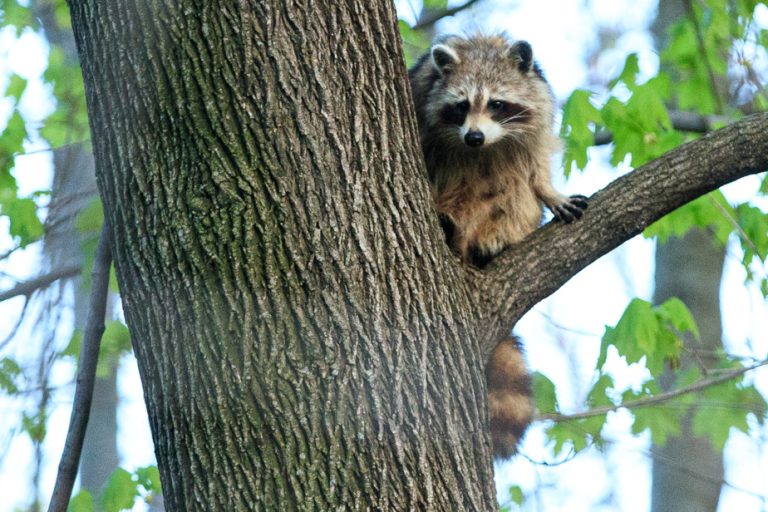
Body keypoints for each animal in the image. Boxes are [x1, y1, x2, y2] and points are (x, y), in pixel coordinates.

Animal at [408, 36, 588, 460]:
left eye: (496, 104)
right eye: (460, 105)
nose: (473, 137)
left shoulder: (539, 107)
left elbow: (533, 166)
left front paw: (549, 190)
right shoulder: (422, 103)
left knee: (512, 191)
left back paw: (492, 240)